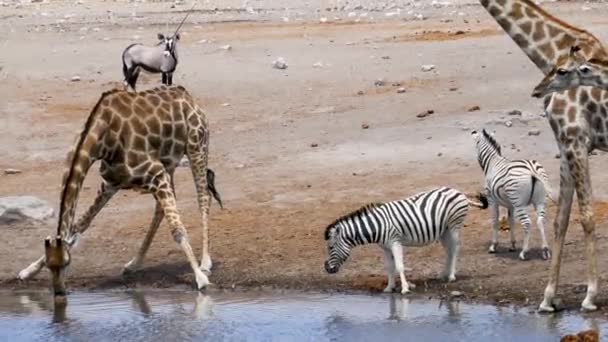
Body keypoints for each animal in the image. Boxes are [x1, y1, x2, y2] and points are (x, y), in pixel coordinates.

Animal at [17, 85, 223, 296]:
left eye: (67, 263)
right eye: (51, 266)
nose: (59, 292)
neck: (103, 139)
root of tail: (187, 96)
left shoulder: (156, 174)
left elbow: (177, 229)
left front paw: (201, 279)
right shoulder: (112, 182)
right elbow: (80, 224)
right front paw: (28, 270)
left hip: (196, 146)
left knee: (203, 197)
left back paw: (205, 262)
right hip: (169, 163)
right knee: (160, 210)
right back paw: (134, 264)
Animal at [324, 187, 490, 294]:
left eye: (330, 247)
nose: (327, 269)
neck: (376, 226)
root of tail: (459, 192)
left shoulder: (395, 242)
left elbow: (399, 266)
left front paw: (404, 289)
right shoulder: (384, 247)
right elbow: (389, 267)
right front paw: (389, 288)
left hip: (454, 225)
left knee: (454, 249)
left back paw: (451, 276)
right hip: (444, 230)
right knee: (448, 251)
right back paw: (443, 274)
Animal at [470, 130, 556, 260]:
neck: (493, 162)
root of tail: (532, 169)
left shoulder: (492, 200)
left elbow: (494, 221)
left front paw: (493, 246)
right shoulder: (511, 204)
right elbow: (511, 222)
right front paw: (512, 245)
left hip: (519, 202)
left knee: (527, 223)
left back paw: (524, 252)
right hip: (539, 201)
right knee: (541, 221)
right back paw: (545, 250)